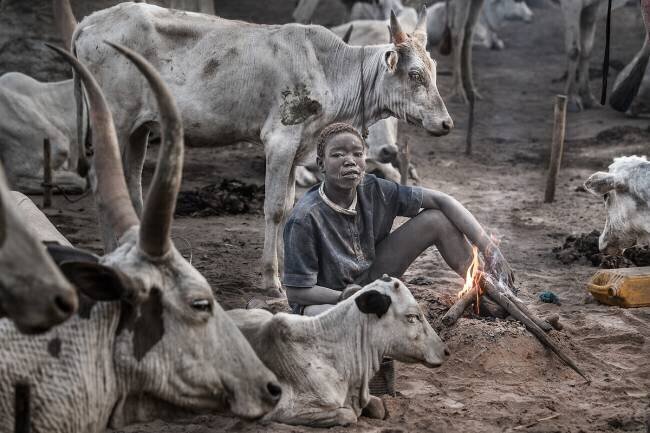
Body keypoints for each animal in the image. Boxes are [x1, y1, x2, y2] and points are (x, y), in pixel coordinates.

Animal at [70, 2, 453, 296]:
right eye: (415, 74)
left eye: (434, 70)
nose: (446, 123)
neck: (329, 68)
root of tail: (90, 21)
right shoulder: (280, 140)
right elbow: (274, 209)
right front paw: (272, 280)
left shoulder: (300, 147)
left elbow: (289, 205)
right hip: (115, 119)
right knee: (104, 182)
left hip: (140, 128)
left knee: (131, 181)